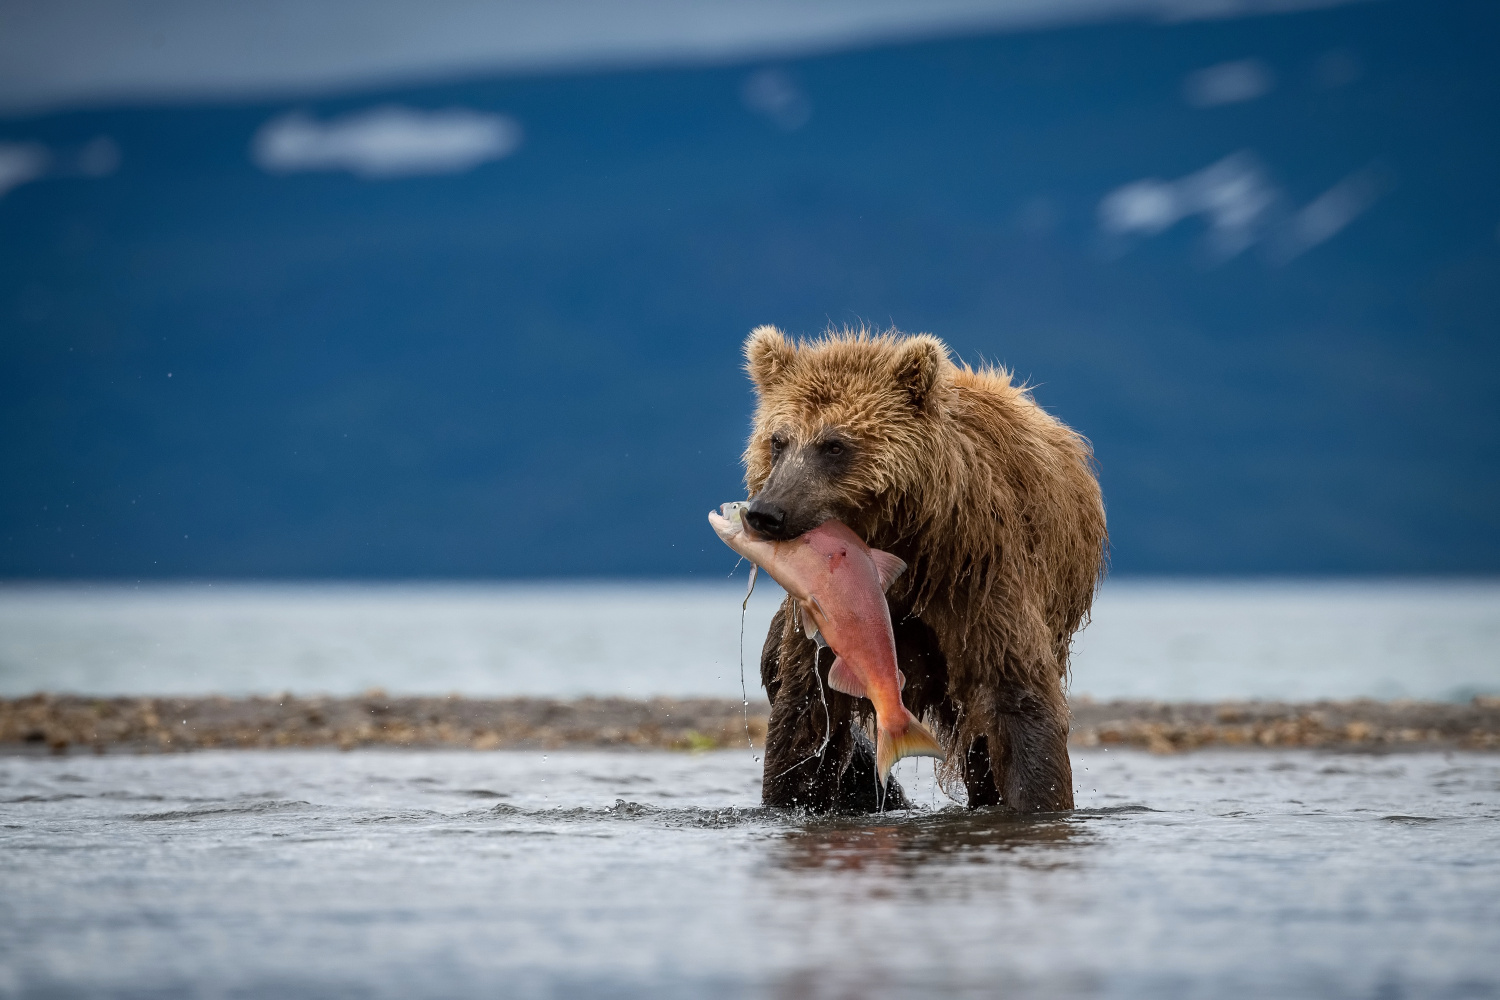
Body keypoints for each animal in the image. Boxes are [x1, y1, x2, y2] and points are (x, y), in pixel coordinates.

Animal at [744, 326, 1110, 815]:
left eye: (834, 445)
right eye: (778, 441)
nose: (766, 512)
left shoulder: (977, 575)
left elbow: (1015, 700)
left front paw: (1037, 799)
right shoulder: (826, 619)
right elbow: (805, 715)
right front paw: (791, 794)